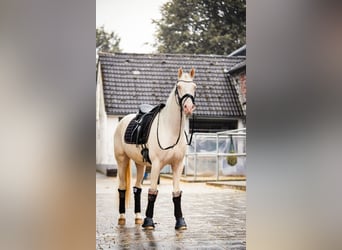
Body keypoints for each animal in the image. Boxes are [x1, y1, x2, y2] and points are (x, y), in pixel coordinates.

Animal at [113, 67, 196, 229]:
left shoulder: (178, 165)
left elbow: (176, 193)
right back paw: (122, 217)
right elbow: (152, 192)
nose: (188, 107)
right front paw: (149, 221)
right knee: (122, 188)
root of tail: (123, 121)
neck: (169, 129)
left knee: (137, 189)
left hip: (140, 164)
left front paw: (180, 222)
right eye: (178, 87)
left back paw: (138, 217)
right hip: (122, 161)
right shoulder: (157, 164)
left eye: (195, 87)